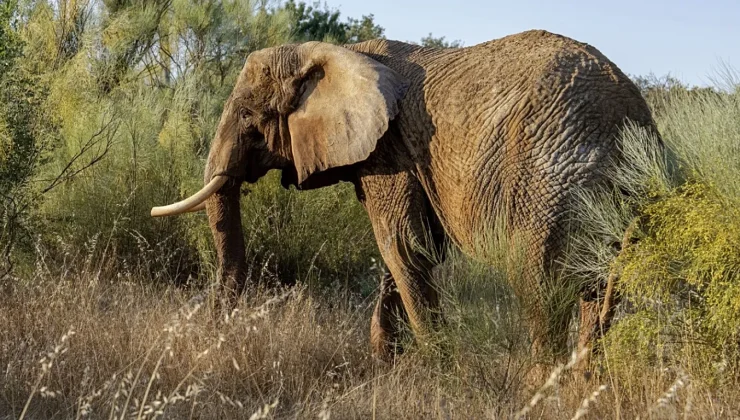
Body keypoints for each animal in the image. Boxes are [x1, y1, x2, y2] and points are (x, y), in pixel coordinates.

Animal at [151, 29, 659, 367]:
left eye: (250, 117)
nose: (213, 333)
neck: (338, 52)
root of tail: (631, 118)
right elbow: (406, 249)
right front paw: (385, 363)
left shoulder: (390, 151)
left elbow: (402, 245)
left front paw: (439, 369)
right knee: (594, 286)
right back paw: (584, 380)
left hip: (548, 182)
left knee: (538, 282)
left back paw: (542, 386)